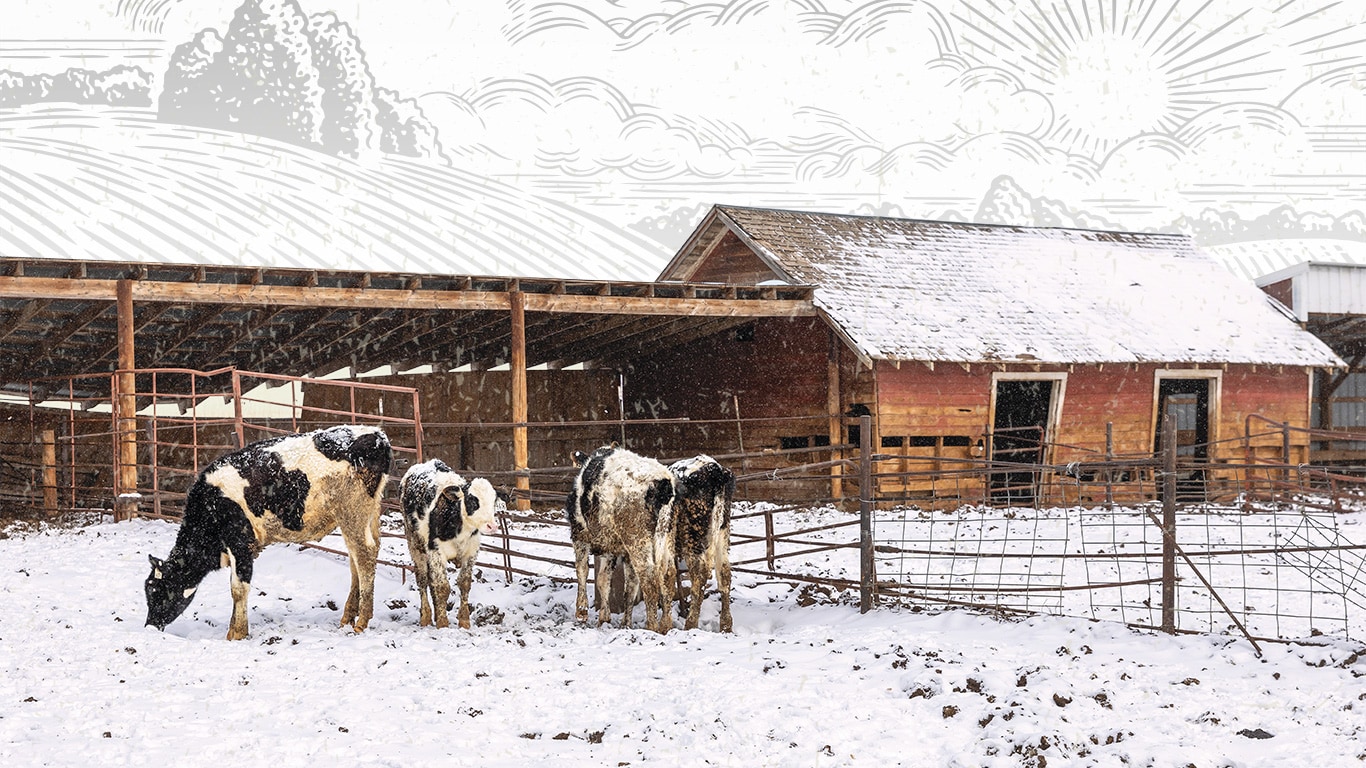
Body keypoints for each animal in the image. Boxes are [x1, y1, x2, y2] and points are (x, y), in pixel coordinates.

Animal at [144, 423, 390, 639]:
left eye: (159, 591)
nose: (150, 626)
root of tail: (375, 434)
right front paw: (233, 630)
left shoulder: (240, 542)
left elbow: (238, 588)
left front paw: (237, 634)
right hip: (365, 514)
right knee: (358, 557)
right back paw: (348, 617)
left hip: (353, 511)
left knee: (364, 555)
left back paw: (361, 621)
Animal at [398, 459, 502, 628]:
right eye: (473, 500)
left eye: (493, 501)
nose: (492, 526)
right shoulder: (436, 551)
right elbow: (442, 587)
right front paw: (442, 623)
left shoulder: (471, 551)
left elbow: (464, 584)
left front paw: (464, 620)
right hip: (415, 545)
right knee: (422, 580)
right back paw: (426, 617)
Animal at [562, 445, 674, 631]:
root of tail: (661, 482)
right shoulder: (614, 548)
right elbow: (621, 584)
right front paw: (620, 621)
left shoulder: (580, 536)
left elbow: (583, 570)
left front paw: (582, 611)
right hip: (664, 539)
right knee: (667, 575)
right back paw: (666, 625)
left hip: (638, 541)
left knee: (649, 579)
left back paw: (651, 626)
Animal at [663, 453, 732, 628]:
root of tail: (713, 467)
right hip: (722, 532)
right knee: (724, 573)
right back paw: (726, 625)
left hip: (691, 538)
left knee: (697, 575)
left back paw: (690, 623)